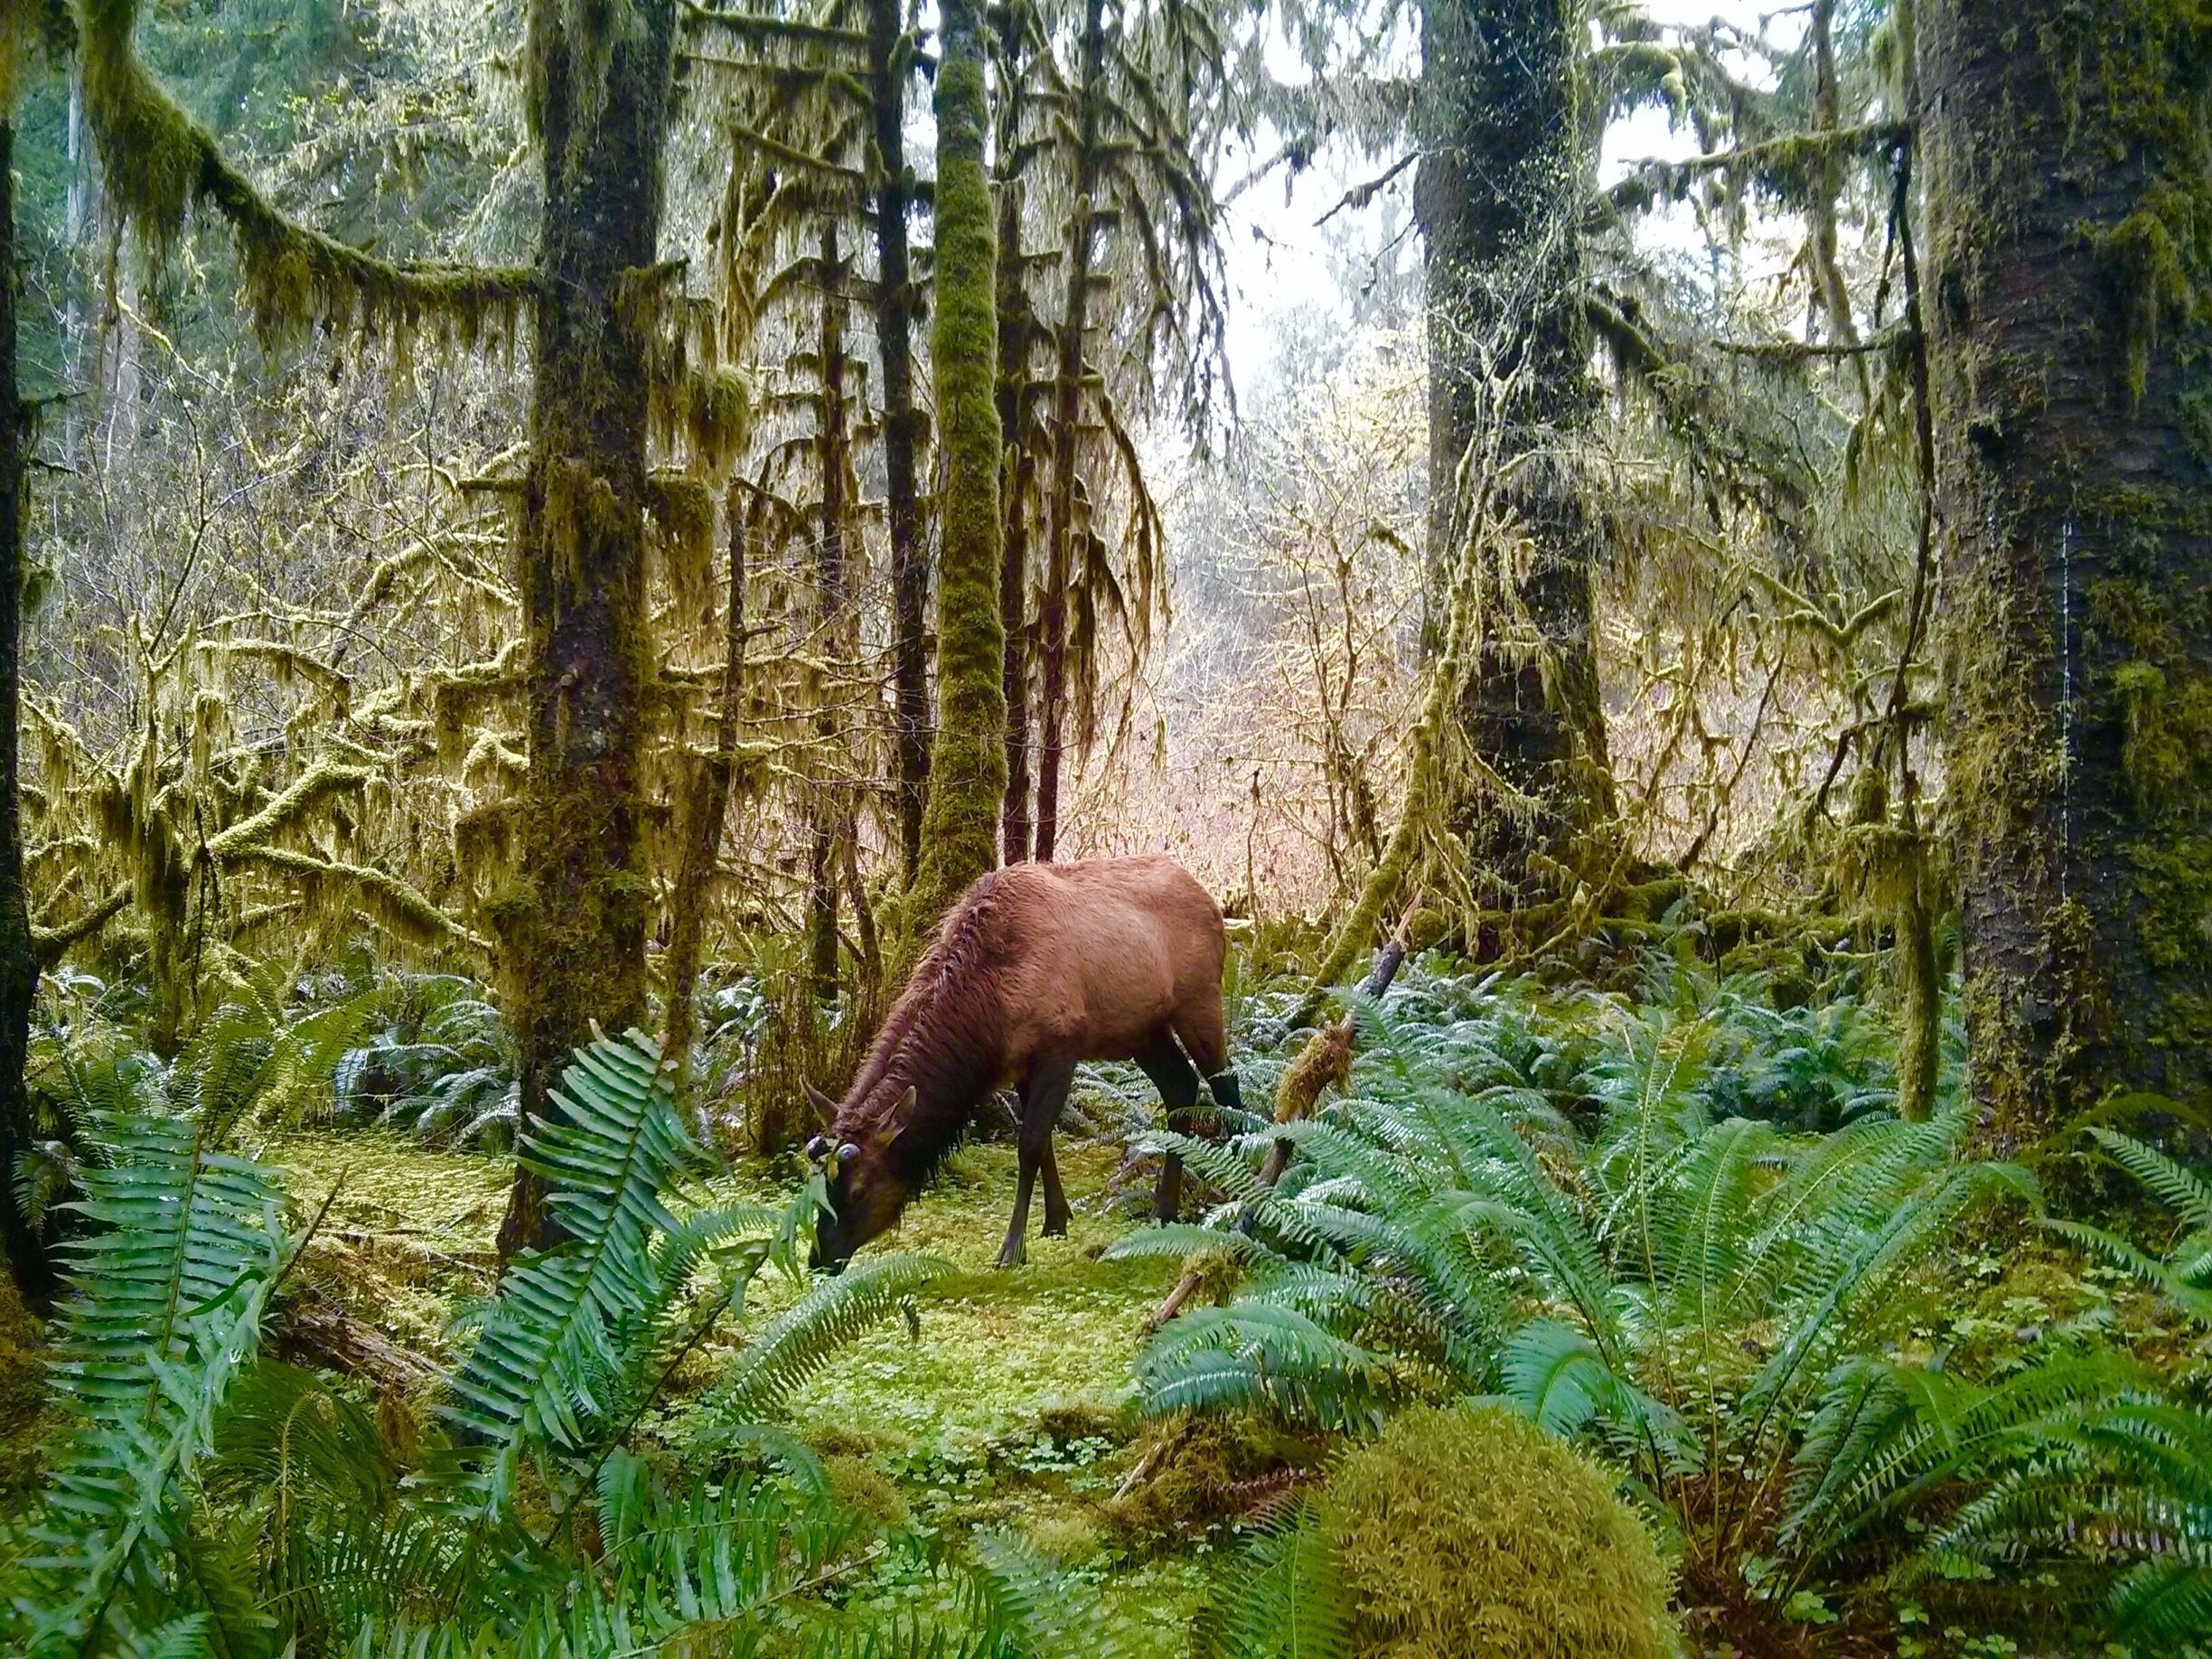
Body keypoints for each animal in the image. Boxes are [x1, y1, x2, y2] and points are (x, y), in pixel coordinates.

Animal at [806, 855, 1241, 1270]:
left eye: (857, 1190)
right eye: (817, 1186)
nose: (819, 1257)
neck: (989, 1011)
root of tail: (1211, 903)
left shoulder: (1060, 1047)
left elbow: (1030, 1143)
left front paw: (1012, 1248)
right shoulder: (1020, 1066)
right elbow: (1043, 1141)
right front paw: (1055, 1220)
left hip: (1200, 1000)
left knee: (1226, 1085)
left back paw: (1240, 1199)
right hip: (1142, 1031)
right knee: (1181, 1086)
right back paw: (1164, 1208)